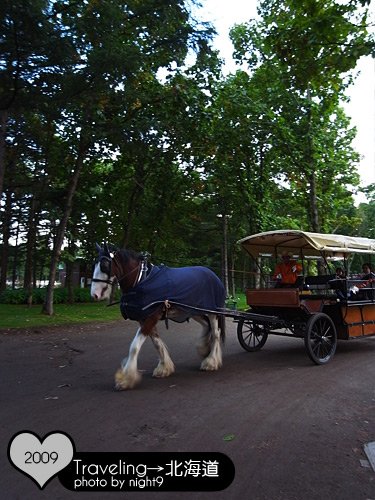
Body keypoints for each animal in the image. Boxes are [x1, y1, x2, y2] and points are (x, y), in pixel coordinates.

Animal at [91, 244, 226, 388]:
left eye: (105, 265)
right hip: (193, 310)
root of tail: (213, 274)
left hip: (212, 311)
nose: (94, 294)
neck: (142, 280)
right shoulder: (143, 318)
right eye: (95, 264)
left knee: (215, 332)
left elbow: (134, 346)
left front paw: (126, 378)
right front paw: (164, 367)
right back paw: (203, 348)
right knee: (206, 325)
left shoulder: (152, 316)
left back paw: (211, 361)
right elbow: (156, 342)